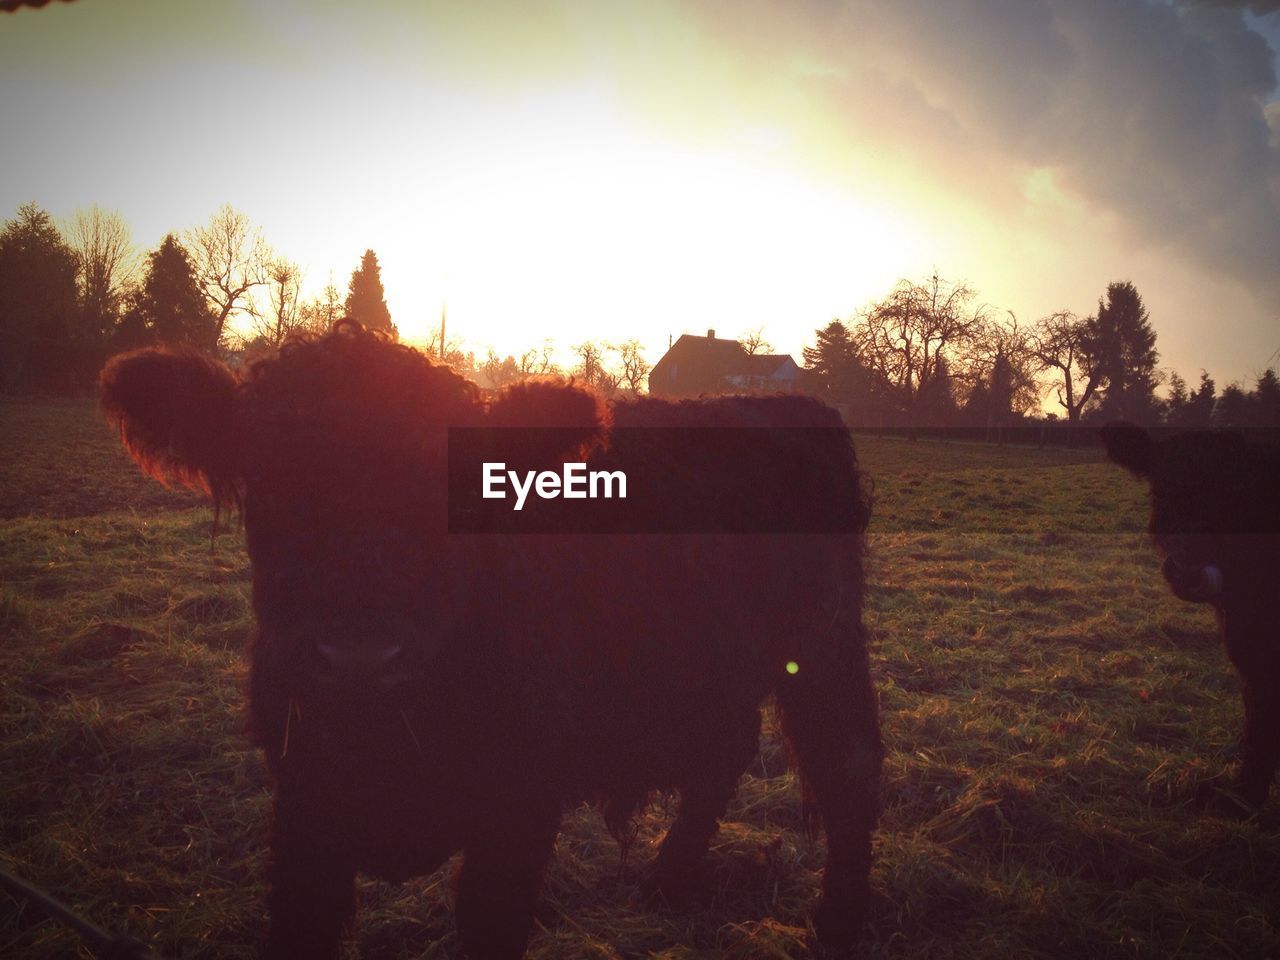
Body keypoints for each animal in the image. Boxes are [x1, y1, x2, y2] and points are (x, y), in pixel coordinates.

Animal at [102, 325, 880, 960]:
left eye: (456, 484)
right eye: (270, 472)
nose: (359, 655)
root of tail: (796, 408)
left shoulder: (518, 812)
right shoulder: (303, 806)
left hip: (823, 648)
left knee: (847, 765)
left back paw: (836, 926)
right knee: (728, 749)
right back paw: (667, 880)